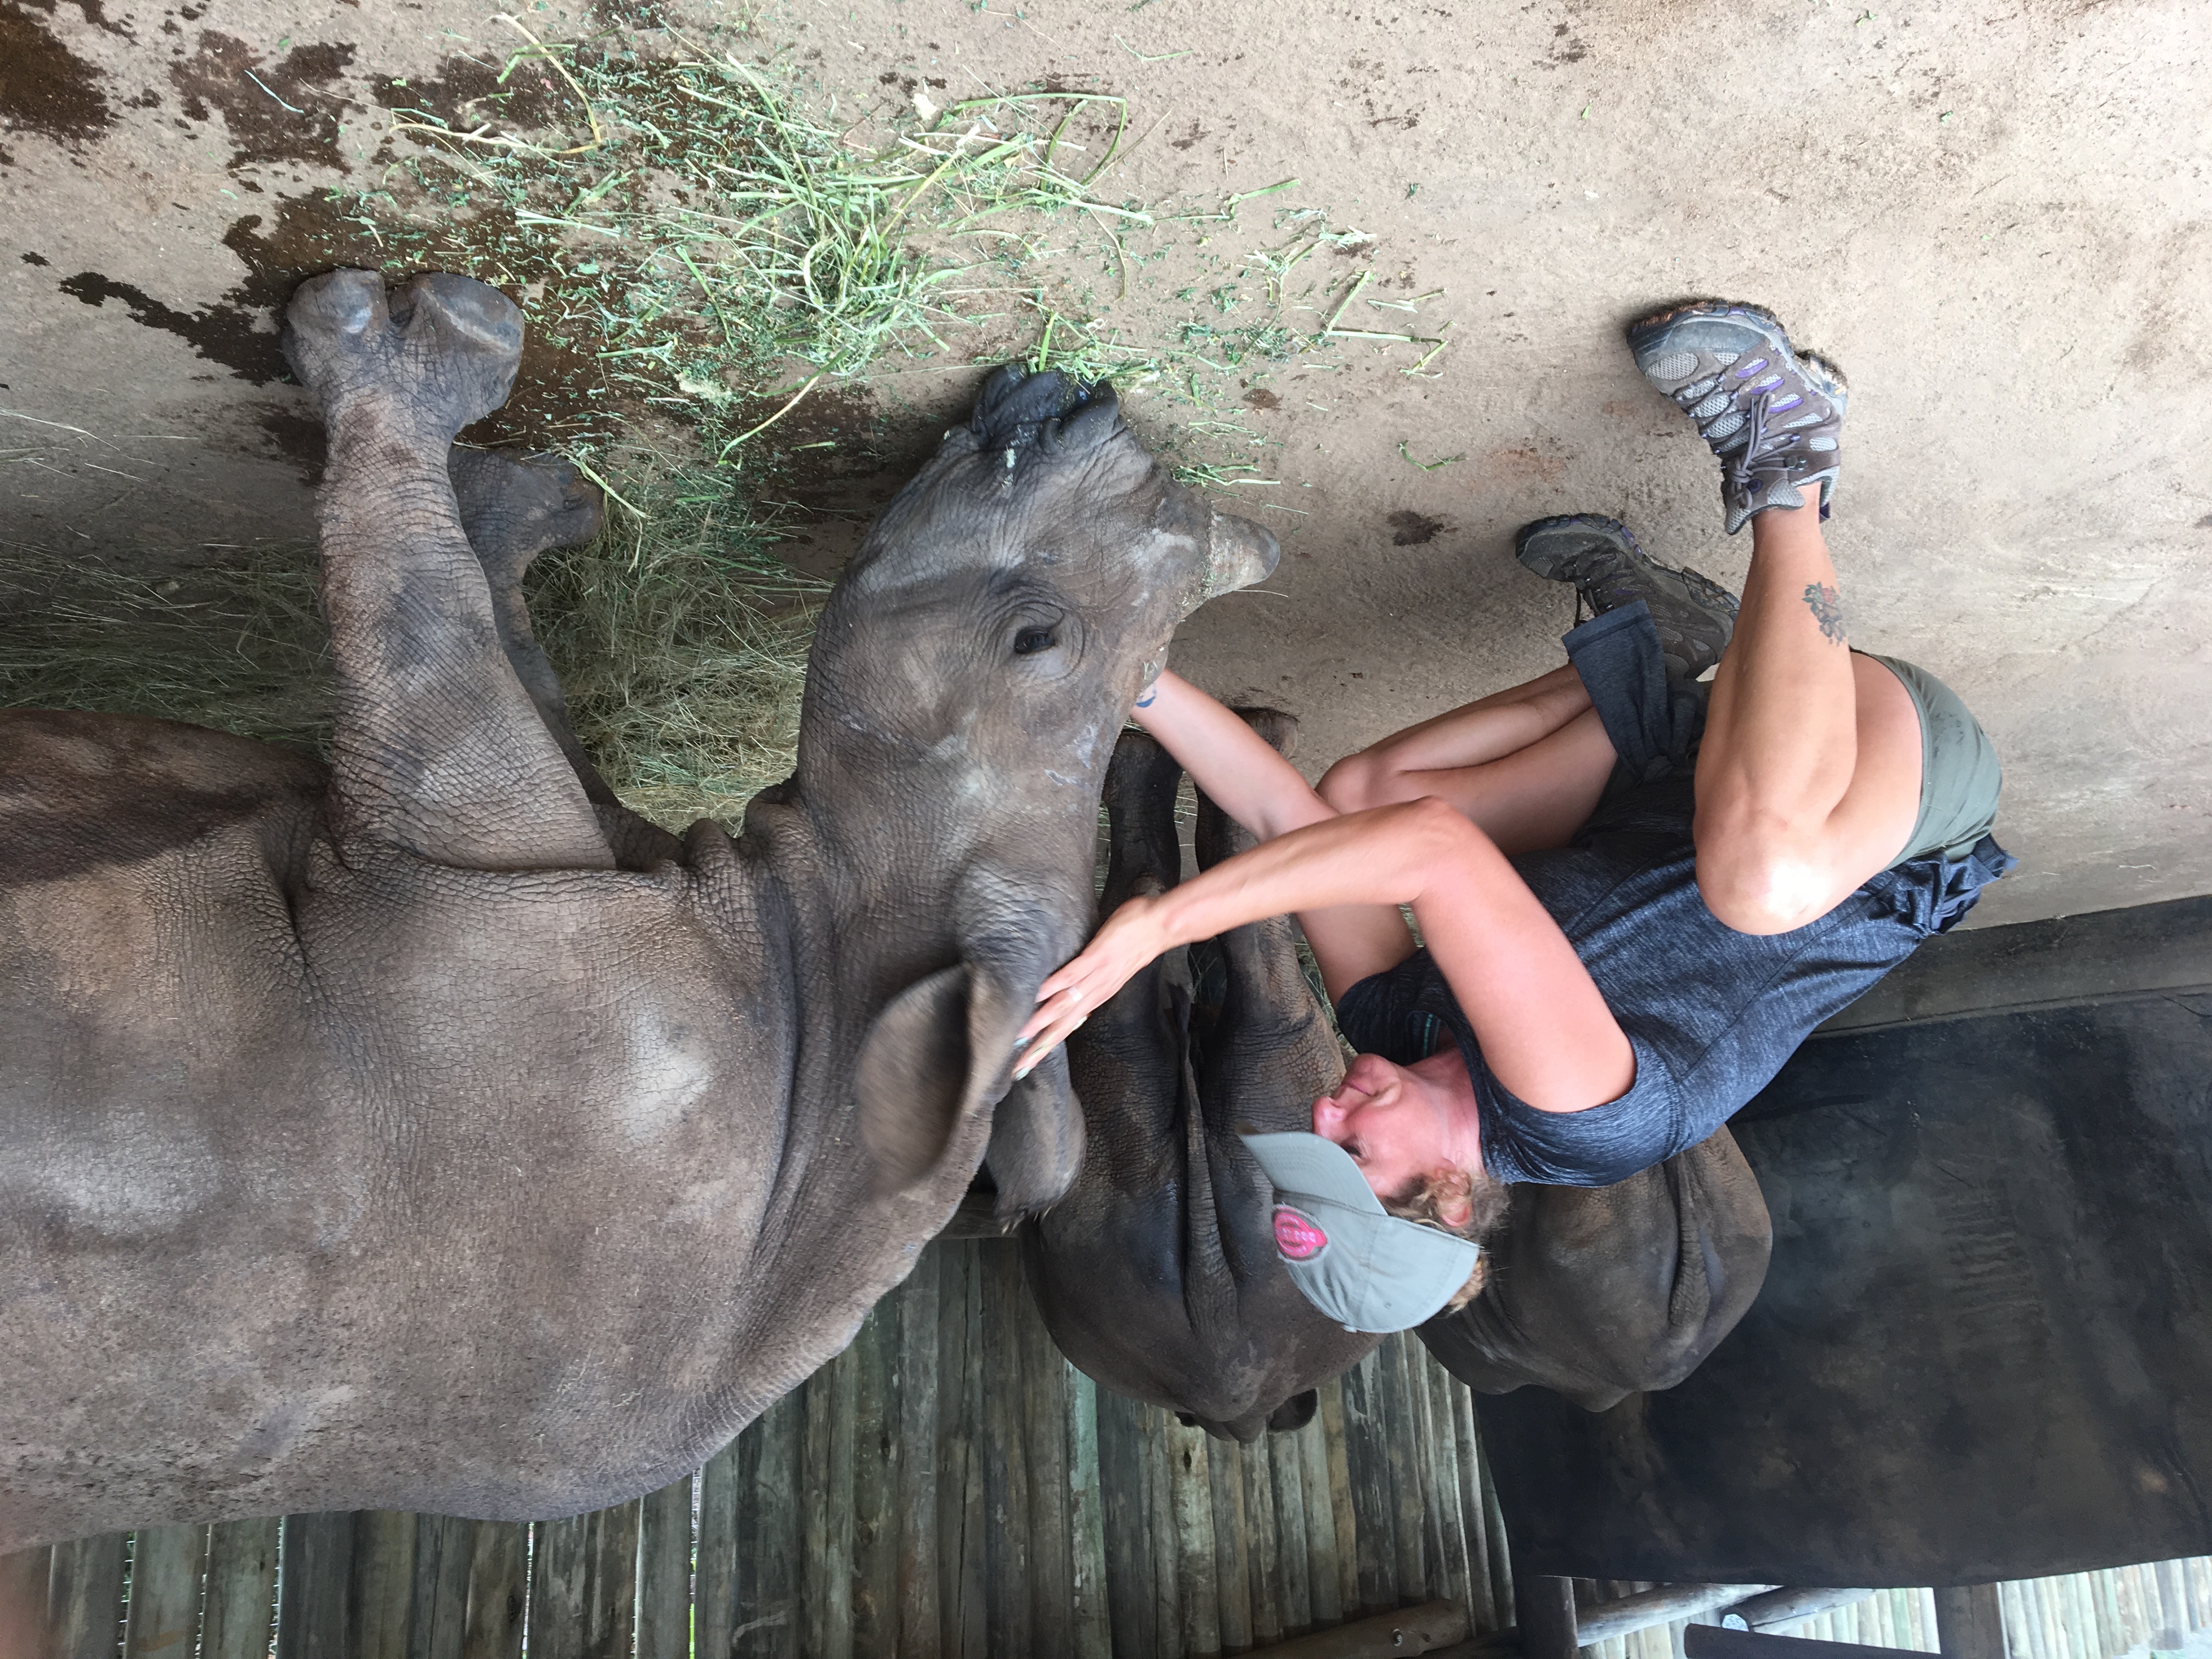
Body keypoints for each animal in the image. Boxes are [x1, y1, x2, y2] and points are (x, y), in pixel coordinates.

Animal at [0, 269, 1277, 1550]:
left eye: (1031, 638)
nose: (1100, 411)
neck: (825, 985)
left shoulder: (476, 914)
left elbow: (427, 632)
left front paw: (426, 349)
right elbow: (521, 672)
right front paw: (529, 503)